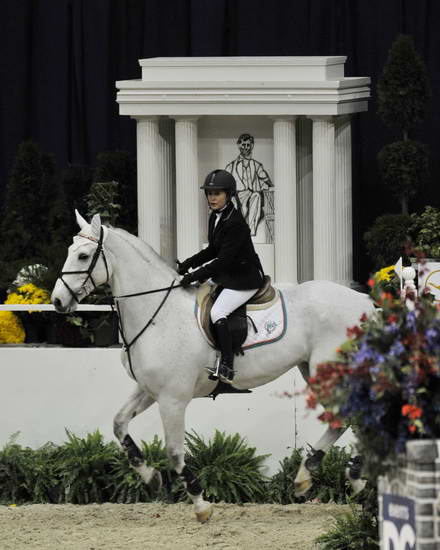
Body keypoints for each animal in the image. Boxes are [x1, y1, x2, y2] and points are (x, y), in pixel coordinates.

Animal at [50, 213, 374, 524]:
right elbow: (119, 424)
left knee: (349, 417)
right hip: (314, 370)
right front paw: (150, 477)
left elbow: (175, 452)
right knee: (345, 419)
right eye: (68, 251)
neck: (157, 313)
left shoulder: (172, 399)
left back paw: (341, 477)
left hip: (327, 370)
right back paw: (325, 477)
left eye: (83, 256)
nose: (57, 301)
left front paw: (201, 505)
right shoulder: (150, 390)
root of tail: (365, 301)